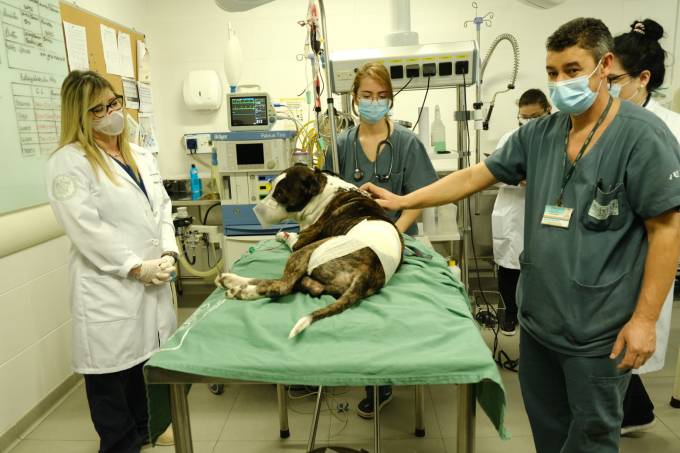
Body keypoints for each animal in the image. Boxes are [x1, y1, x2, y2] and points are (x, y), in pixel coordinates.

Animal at [214, 164, 404, 338]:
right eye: (271, 186)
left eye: (279, 194)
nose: (257, 210)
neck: (323, 191)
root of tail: (367, 270)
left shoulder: (300, 242)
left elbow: (290, 237)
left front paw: (281, 234)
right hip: (314, 277)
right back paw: (231, 281)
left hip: (306, 252)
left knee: (283, 286)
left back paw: (241, 290)